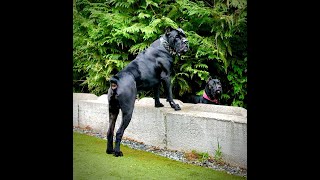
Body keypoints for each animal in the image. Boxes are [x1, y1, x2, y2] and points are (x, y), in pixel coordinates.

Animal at [106, 27, 189, 157]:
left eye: (184, 35)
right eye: (177, 37)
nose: (186, 42)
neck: (165, 45)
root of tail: (116, 81)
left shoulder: (157, 81)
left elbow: (157, 93)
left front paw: (158, 104)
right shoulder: (166, 76)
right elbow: (169, 94)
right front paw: (174, 106)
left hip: (112, 110)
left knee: (110, 131)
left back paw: (109, 151)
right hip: (128, 111)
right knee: (119, 132)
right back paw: (117, 152)